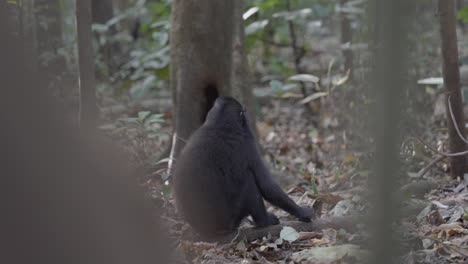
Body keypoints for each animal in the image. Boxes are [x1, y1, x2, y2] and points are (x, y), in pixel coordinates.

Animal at [173, 95, 314, 237]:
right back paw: (264, 221)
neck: (218, 125)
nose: (247, 120)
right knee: (249, 182)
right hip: (231, 220)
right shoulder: (248, 143)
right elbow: (266, 185)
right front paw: (302, 212)